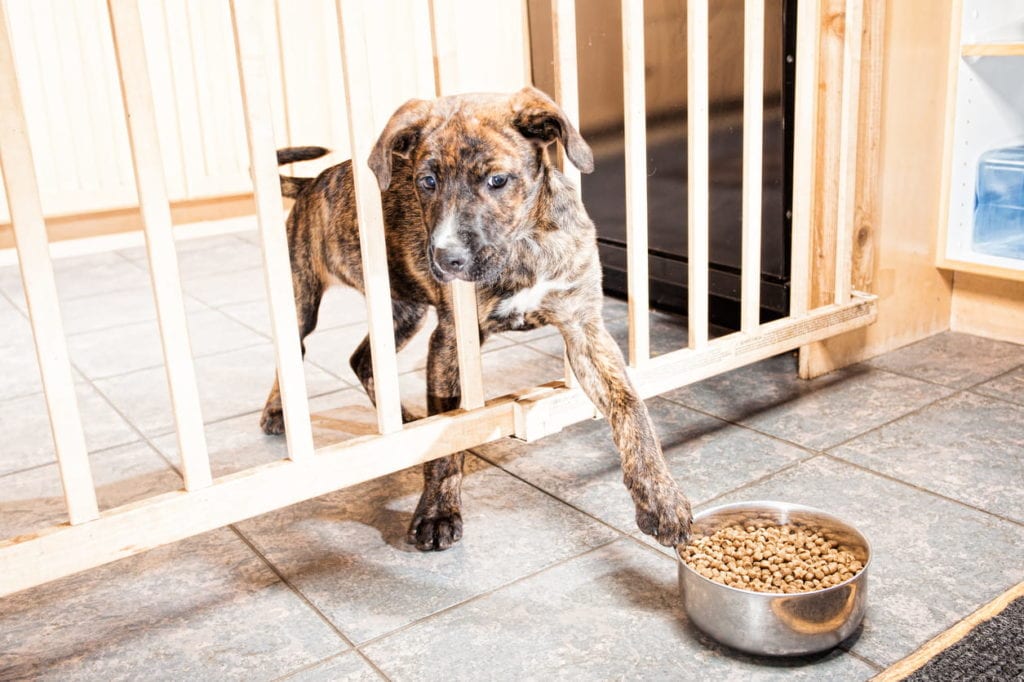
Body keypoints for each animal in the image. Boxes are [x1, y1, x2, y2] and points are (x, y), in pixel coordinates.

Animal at [264, 87, 692, 548]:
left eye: (497, 181)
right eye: (426, 182)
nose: (446, 259)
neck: (524, 244)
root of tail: (312, 183)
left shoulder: (585, 329)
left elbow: (631, 407)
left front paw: (661, 497)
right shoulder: (451, 341)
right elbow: (450, 434)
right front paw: (438, 512)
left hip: (405, 311)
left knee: (361, 359)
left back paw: (404, 420)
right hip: (300, 296)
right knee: (294, 353)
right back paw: (277, 413)